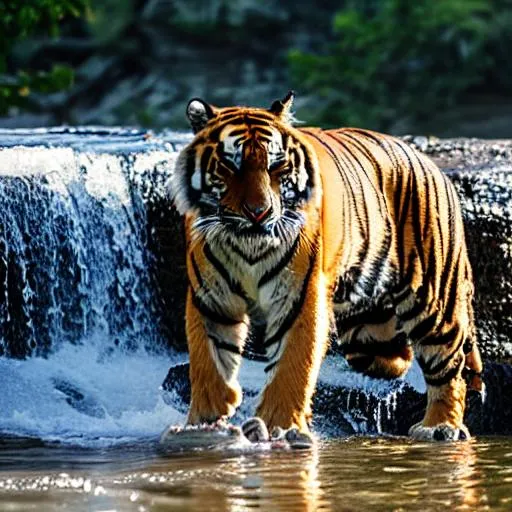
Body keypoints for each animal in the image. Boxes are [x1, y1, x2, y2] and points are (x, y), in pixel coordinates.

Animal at [169, 91, 484, 440]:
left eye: (276, 165)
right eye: (229, 166)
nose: (259, 213)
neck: (247, 244)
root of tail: (432, 165)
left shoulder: (297, 297)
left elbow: (291, 366)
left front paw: (280, 427)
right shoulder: (212, 298)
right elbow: (208, 362)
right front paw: (203, 425)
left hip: (432, 297)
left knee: (449, 365)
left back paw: (440, 426)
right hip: (368, 328)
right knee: (399, 354)